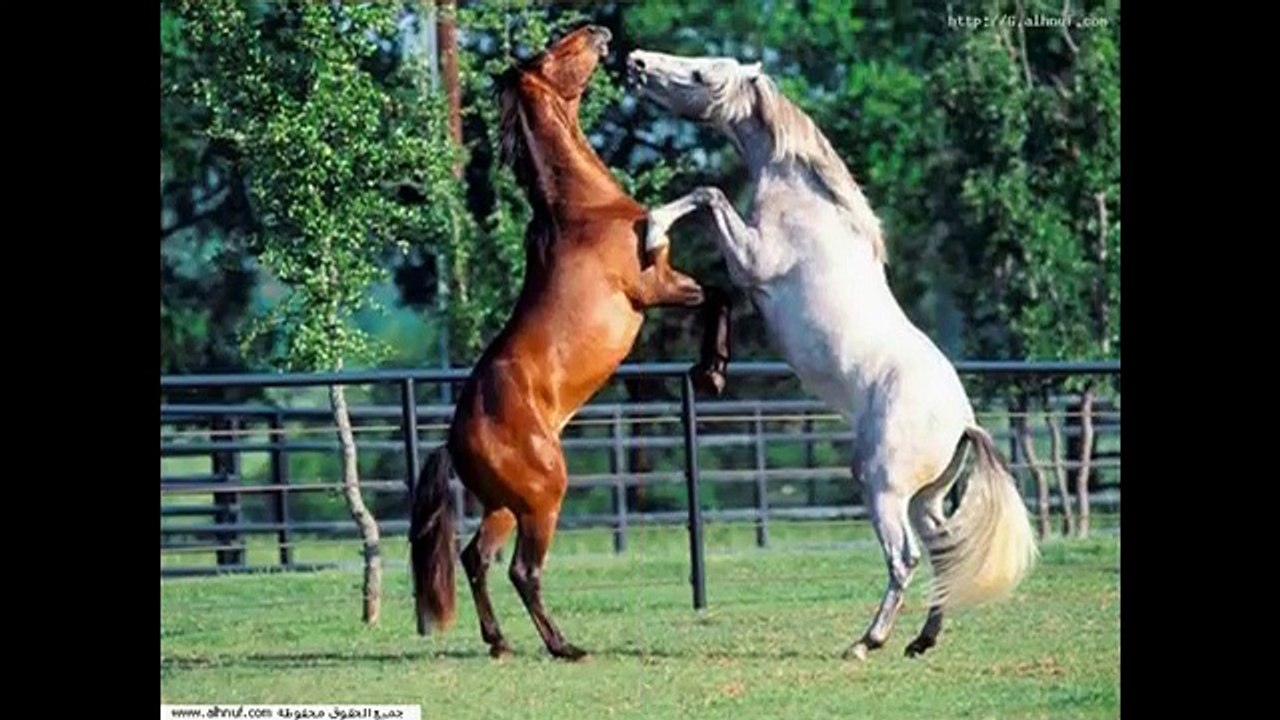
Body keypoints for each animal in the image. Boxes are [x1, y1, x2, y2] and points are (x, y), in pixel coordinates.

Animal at [407, 26, 732, 662]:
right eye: (552, 52)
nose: (599, 32)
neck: (583, 207)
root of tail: (454, 439)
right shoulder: (653, 286)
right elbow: (714, 277)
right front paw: (711, 368)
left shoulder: (668, 283)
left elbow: (717, 293)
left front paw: (711, 369)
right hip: (543, 498)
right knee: (522, 571)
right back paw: (564, 646)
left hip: (506, 506)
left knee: (475, 559)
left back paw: (501, 643)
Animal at [625, 48, 1038, 660]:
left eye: (700, 74)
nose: (634, 61)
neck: (807, 199)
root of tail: (964, 423)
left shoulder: (752, 258)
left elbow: (708, 193)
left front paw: (652, 229)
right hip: (924, 499)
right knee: (943, 550)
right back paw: (922, 640)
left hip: (883, 486)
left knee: (905, 558)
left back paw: (868, 642)